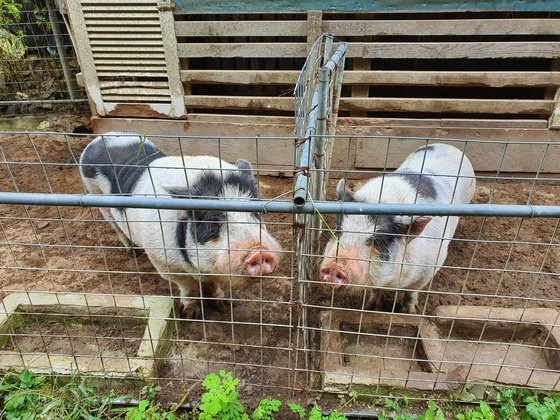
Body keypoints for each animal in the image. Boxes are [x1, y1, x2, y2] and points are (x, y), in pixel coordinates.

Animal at [322, 144, 474, 312]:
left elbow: (411, 291)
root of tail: (449, 146)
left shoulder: (430, 267)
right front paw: (372, 307)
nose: (335, 266)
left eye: (377, 241)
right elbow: (375, 289)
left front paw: (409, 312)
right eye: (337, 231)